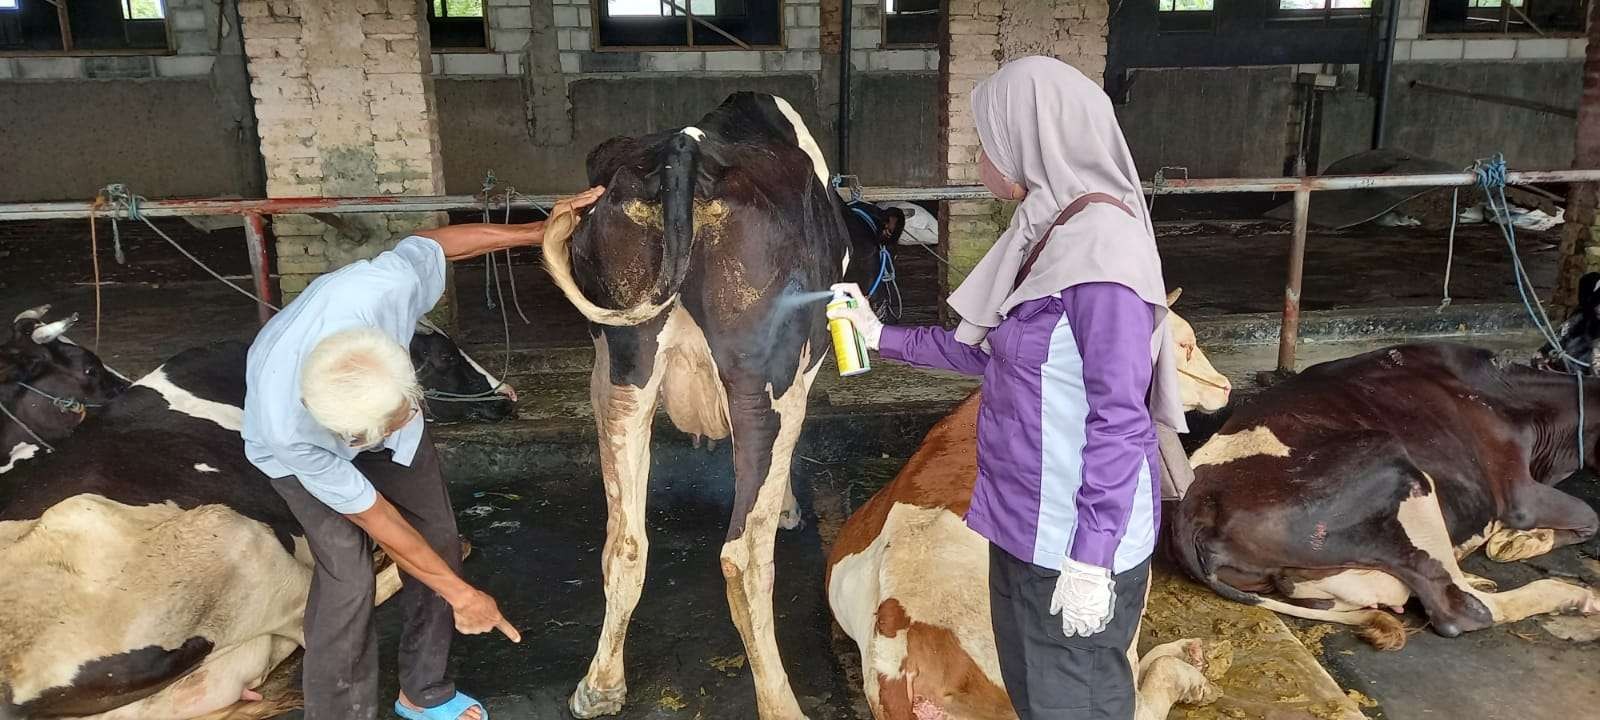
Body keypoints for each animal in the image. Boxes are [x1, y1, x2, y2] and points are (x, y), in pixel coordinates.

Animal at [540, 92, 864, 716]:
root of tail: (684, 150)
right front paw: (788, 506)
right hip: (767, 384)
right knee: (743, 555)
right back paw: (781, 702)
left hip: (625, 369)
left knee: (625, 541)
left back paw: (600, 686)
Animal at [1171, 318, 1600, 649]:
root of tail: (1194, 507)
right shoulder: (1516, 490)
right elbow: (1590, 517)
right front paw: (1520, 539)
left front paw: (1515, 541)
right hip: (1396, 470)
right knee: (1459, 609)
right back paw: (1577, 597)